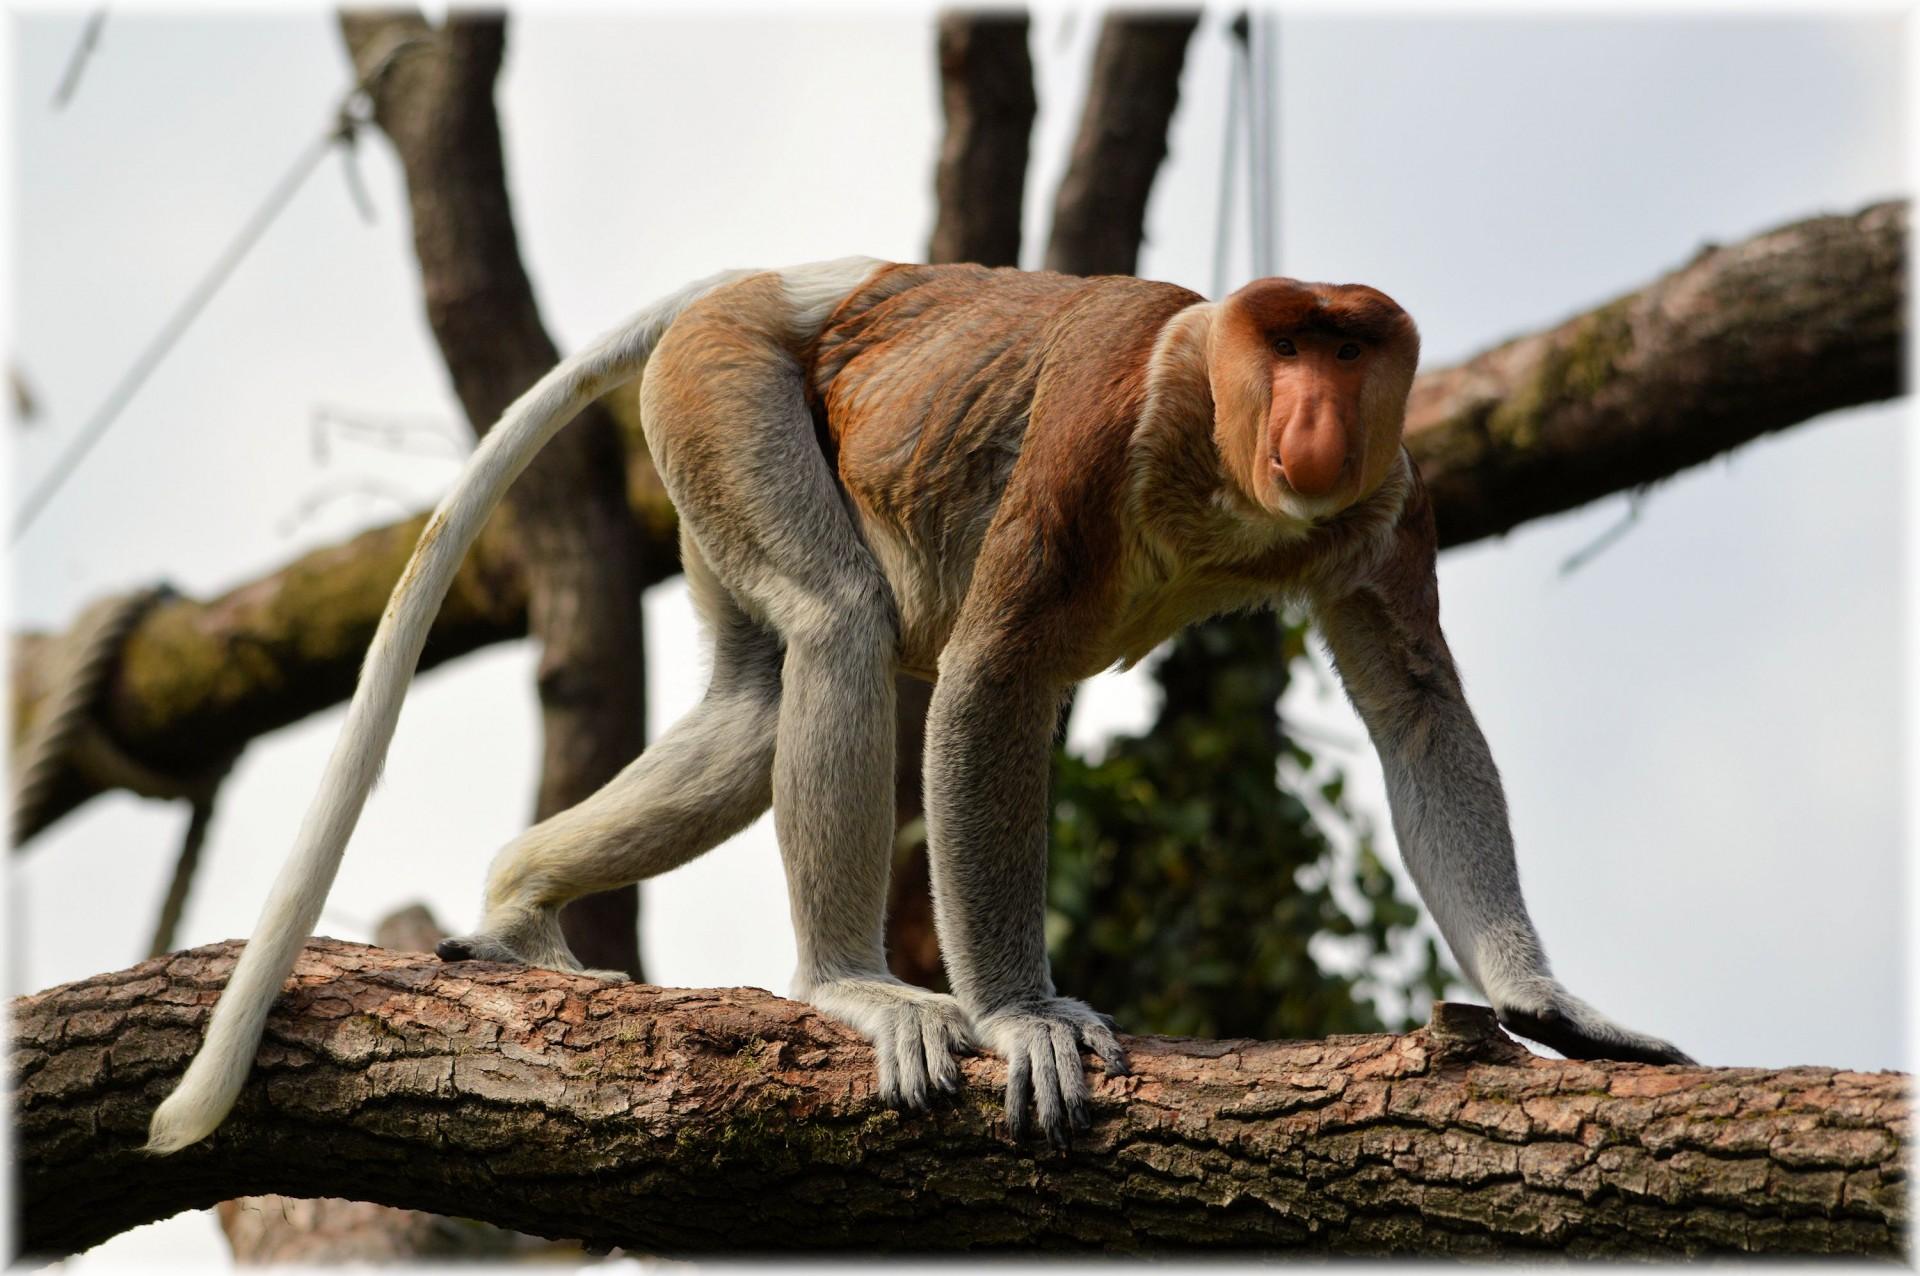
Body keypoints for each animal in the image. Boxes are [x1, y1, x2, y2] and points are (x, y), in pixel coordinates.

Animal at [145, 253, 1681, 1151]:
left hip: (707, 450)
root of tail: (768, 274)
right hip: (727, 389)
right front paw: (1022, 1018)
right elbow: (994, 678)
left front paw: (1550, 1001)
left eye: (1350, 350)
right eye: (1289, 345)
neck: (1222, 449)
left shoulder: (1385, 497)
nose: (1313, 412)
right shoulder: (1097, 424)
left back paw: (520, 903)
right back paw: (850, 986)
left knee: (759, 704)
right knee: (840, 629)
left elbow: (1416, 706)